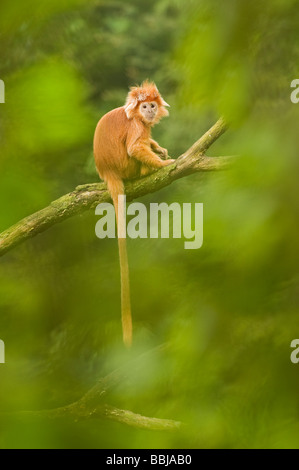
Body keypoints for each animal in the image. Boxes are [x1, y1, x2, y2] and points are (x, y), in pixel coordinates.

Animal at [93, 80, 173, 346]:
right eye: (144, 106)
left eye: (152, 105)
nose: (149, 111)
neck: (137, 115)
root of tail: (108, 171)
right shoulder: (137, 125)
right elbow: (136, 147)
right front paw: (163, 164)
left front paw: (159, 149)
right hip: (128, 168)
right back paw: (149, 169)